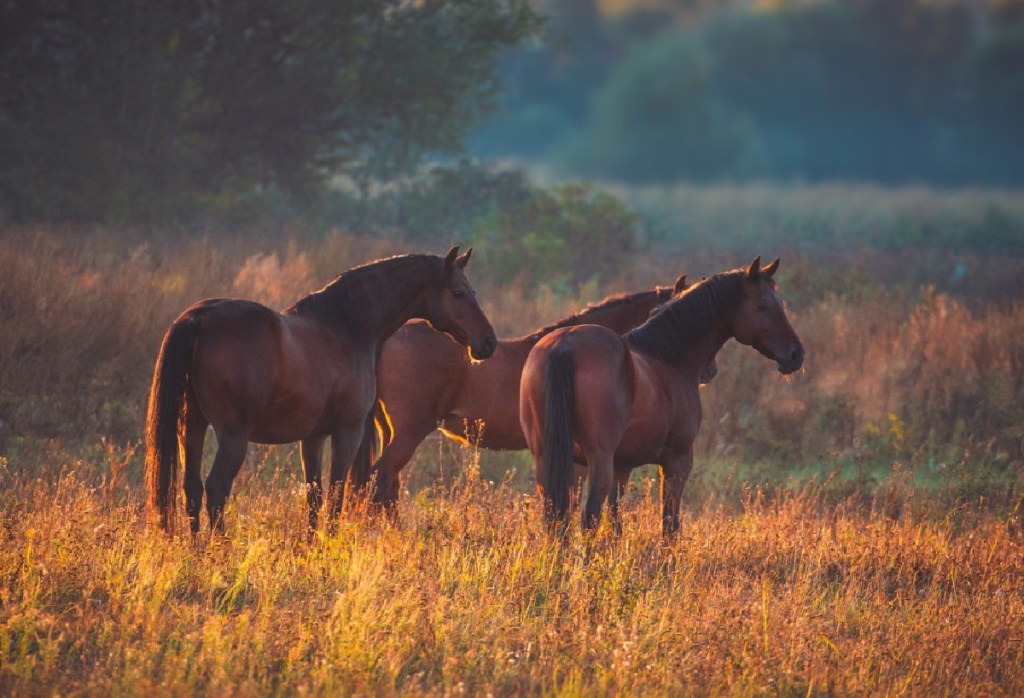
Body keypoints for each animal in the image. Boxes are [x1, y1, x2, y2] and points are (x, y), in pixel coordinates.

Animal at [144, 245, 495, 532]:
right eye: (458, 293)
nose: (488, 342)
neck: (346, 328)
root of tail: (199, 318)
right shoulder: (347, 433)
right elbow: (336, 496)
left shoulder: (311, 438)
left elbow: (314, 497)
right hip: (232, 437)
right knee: (216, 489)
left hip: (192, 426)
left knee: (192, 489)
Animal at [524, 257, 802, 536]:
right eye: (763, 306)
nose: (795, 355)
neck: (668, 357)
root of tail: (564, 345)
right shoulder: (677, 460)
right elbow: (670, 524)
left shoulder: (622, 466)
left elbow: (615, 522)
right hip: (597, 459)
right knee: (588, 516)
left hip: (549, 459)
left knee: (556, 518)